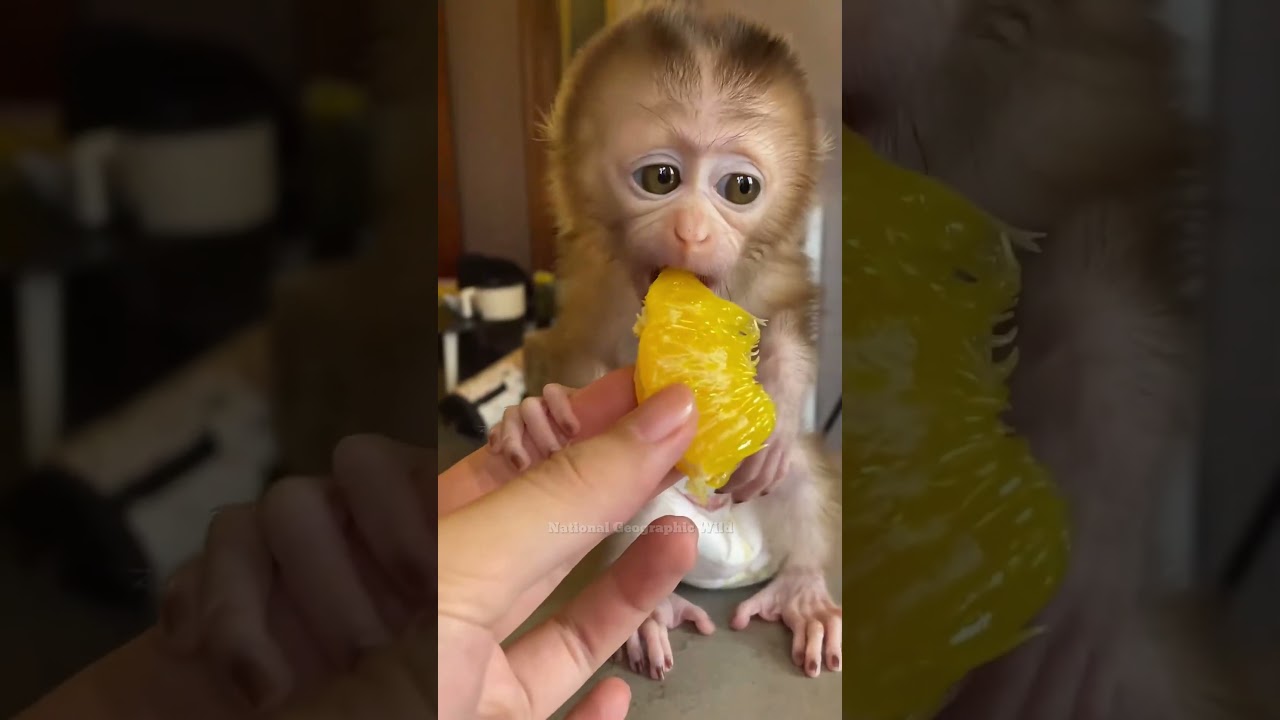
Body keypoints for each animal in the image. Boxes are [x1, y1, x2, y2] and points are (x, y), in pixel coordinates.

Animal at [486, 5, 843, 681]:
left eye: (740, 189)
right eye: (661, 178)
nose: (693, 232)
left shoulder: (777, 269)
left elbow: (789, 322)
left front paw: (781, 411)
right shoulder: (589, 282)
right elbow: (562, 350)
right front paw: (535, 415)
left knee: (798, 471)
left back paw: (803, 588)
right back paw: (654, 611)